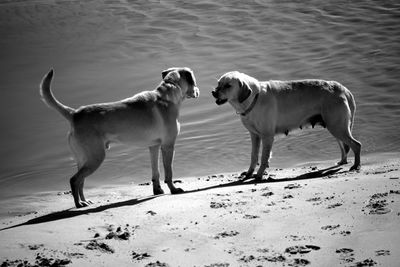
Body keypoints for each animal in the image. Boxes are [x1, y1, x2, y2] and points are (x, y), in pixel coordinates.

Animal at [40, 67, 200, 209]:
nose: (198, 91)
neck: (168, 94)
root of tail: (74, 114)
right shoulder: (168, 145)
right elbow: (169, 172)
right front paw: (173, 189)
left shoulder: (153, 147)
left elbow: (156, 172)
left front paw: (157, 190)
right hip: (96, 157)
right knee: (74, 180)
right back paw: (78, 204)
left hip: (84, 159)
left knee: (81, 181)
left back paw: (84, 201)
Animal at [212, 70, 362, 180]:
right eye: (218, 83)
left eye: (228, 85)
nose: (213, 92)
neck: (254, 98)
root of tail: (343, 89)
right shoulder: (254, 135)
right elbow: (254, 156)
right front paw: (249, 173)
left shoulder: (267, 136)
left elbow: (264, 158)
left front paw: (259, 175)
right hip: (336, 127)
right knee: (344, 146)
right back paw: (342, 162)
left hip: (337, 127)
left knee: (356, 145)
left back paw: (356, 166)